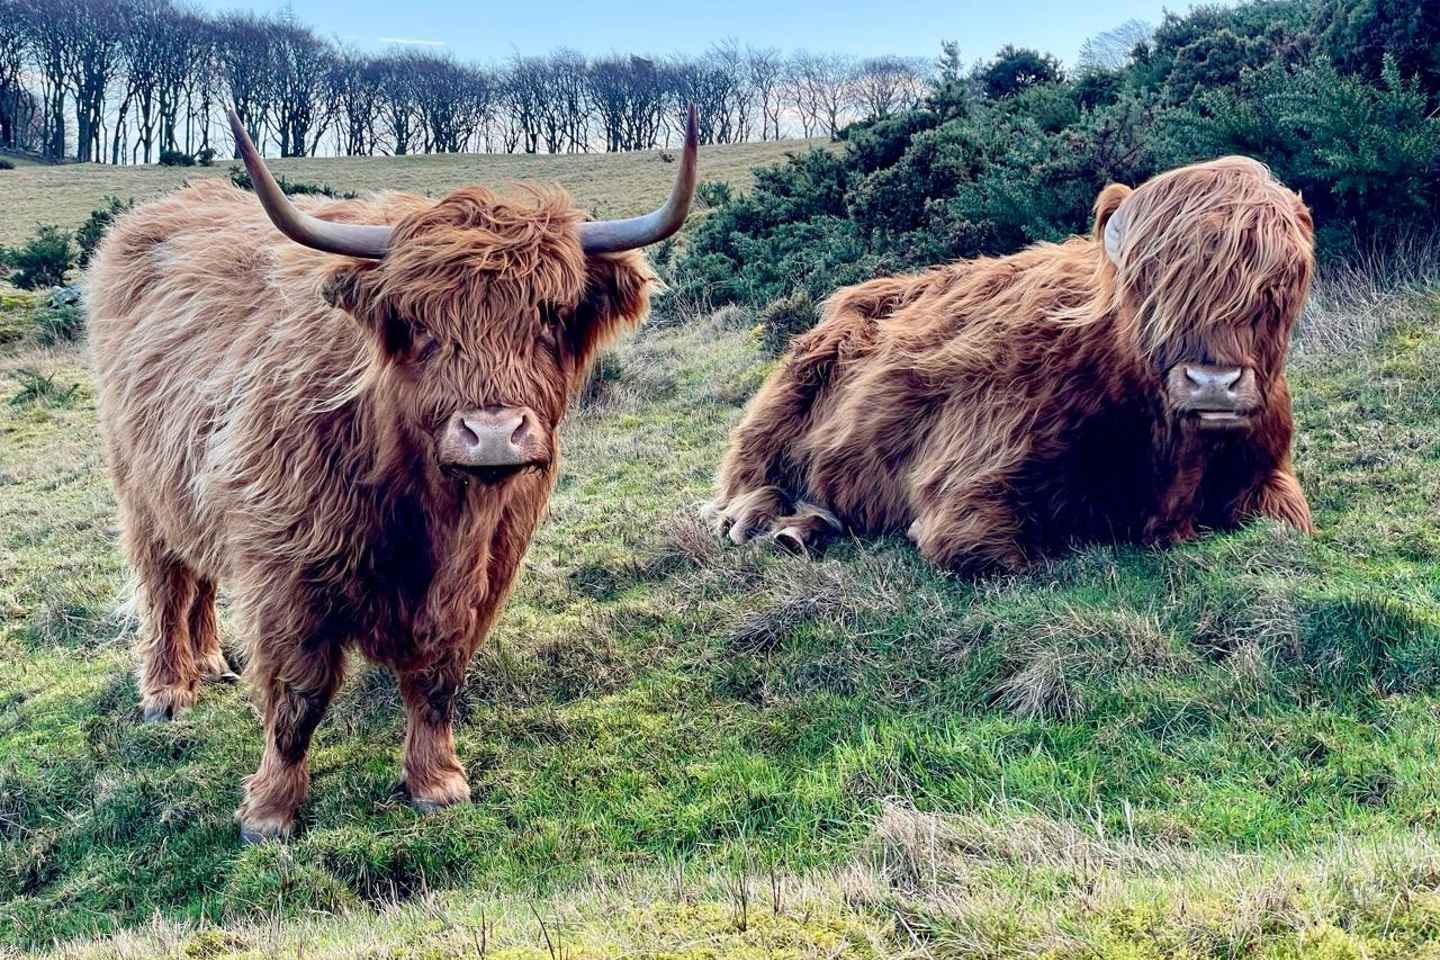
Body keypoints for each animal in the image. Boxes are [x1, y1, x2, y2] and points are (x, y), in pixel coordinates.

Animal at [86, 108, 697, 842]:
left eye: (550, 317)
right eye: (418, 324)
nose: (494, 433)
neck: (426, 506)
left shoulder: (482, 574)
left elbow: (437, 680)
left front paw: (435, 782)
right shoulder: (286, 569)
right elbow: (297, 695)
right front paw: (270, 812)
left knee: (197, 571)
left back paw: (209, 663)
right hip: (138, 487)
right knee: (163, 583)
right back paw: (168, 689)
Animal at [703, 156, 1316, 573]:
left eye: (1280, 280)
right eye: (1147, 284)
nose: (1212, 383)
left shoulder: (1271, 475)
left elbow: (1290, 522)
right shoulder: (969, 488)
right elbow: (998, 553)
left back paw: (800, 529)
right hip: (781, 404)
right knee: (746, 477)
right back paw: (753, 520)